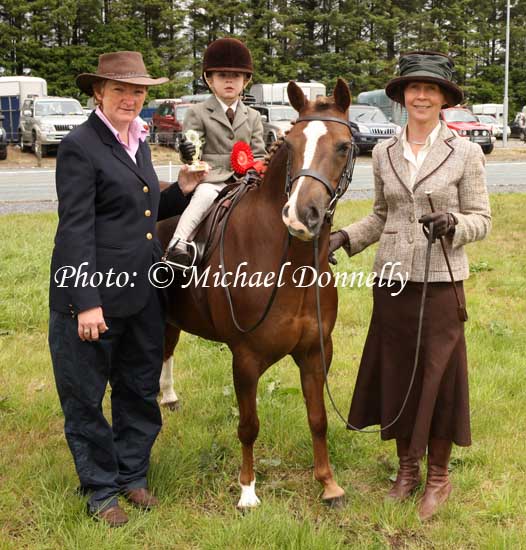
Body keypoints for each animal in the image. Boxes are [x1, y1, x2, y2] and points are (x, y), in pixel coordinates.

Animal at [158, 80, 354, 512]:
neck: (291, 268)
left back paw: (168, 396)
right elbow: (248, 425)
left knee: (166, 347)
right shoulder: (245, 358)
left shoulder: (316, 352)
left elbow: (318, 419)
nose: (301, 215)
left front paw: (328, 484)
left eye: (344, 146)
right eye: (292, 144)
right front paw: (247, 491)